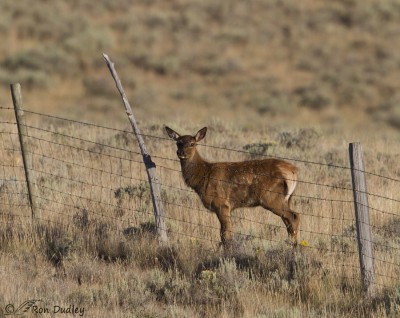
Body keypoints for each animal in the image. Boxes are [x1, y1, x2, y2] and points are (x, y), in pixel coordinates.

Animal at [165, 126, 300, 248]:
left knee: (294, 216)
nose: (181, 153)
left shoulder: (222, 203)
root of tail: (293, 171)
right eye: (178, 143)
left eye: (192, 143)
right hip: (285, 198)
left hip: (271, 196)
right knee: (288, 220)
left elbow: (225, 235)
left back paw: (293, 246)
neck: (203, 176)